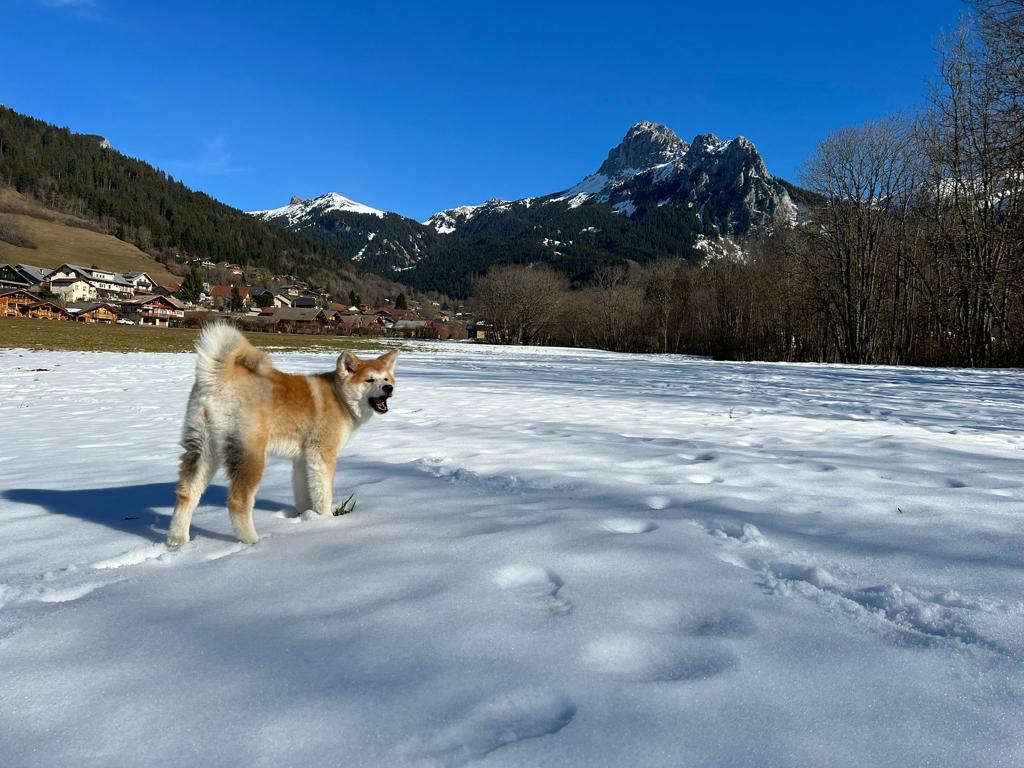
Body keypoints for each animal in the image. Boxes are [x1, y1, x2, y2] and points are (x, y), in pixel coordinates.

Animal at [167, 325, 395, 548]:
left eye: (386, 378)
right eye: (369, 380)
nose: (389, 388)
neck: (340, 397)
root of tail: (219, 378)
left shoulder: (303, 460)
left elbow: (305, 492)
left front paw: (307, 517)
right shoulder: (323, 455)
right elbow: (323, 493)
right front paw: (326, 520)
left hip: (202, 450)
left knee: (186, 495)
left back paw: (177, 541)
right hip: (251, 455)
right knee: (238, 502)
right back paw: (252, 541)